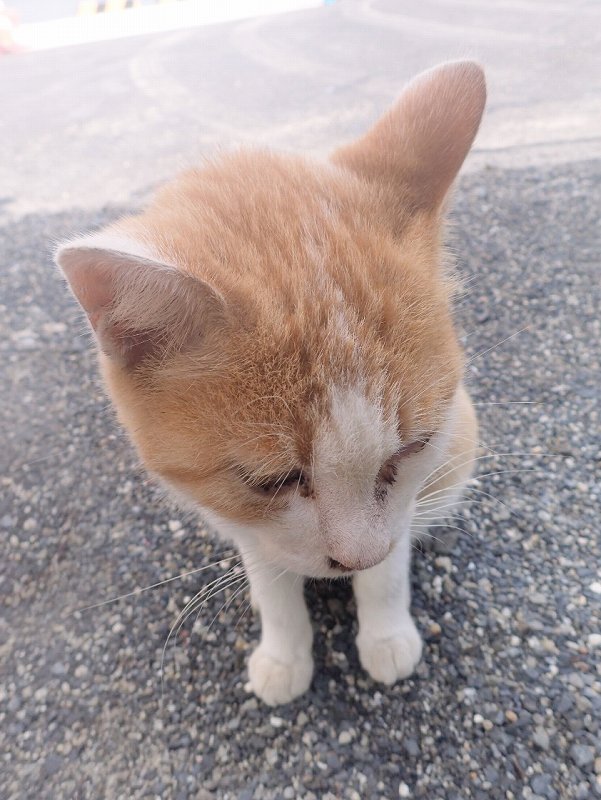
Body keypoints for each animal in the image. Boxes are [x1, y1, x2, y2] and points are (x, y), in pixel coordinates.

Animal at [56, 62, 486, 708]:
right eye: (272, 481)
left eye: (413, 447)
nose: (356, 557)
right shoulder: (243, 518)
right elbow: (272, 576)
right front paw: (284, 650)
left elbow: (388, 569)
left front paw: (385, 628)